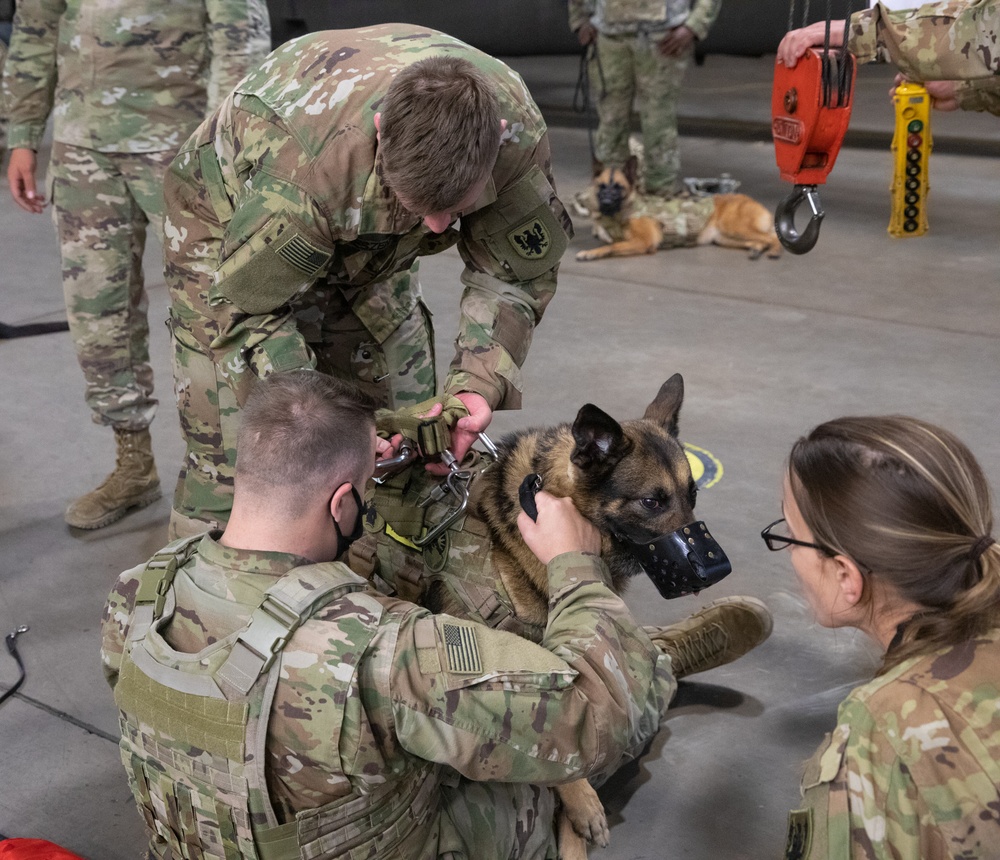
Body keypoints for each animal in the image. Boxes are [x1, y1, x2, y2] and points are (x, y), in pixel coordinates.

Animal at [356, 374, 732, 860]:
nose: (718, 570)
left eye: (693, 495)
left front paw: (574, 827)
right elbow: (553, 746)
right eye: (652, 501)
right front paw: (581, 802)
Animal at [580, 155, 780, 262]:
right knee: (761, 239)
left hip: (734, 227)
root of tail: (748, 199)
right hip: (725, 238)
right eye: (601, 187)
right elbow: (612, 243)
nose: (605, 203)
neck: (627, 208)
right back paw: (756, 249)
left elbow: (611, 246)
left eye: (618, 187)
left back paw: (774, 250)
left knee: (771, 237)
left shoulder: (644, 242)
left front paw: (590, 253)